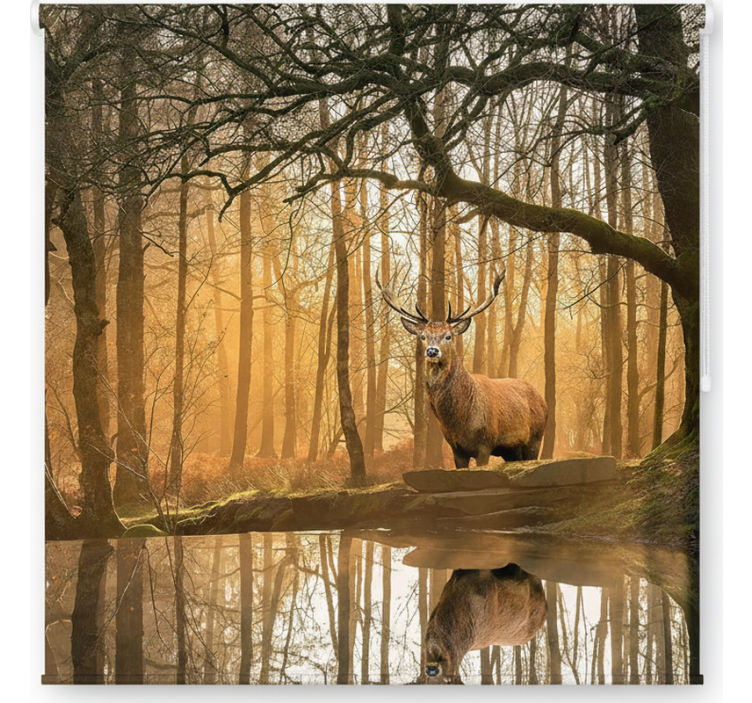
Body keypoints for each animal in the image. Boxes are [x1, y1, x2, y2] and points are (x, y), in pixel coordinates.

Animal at [377, 271, 547, 467]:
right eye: (423, 336)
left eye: (448, 336)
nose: (432, 351)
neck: (459, 421)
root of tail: (544, 401)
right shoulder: (456, 449)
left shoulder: (485, 444)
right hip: (511, 451)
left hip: (535, 439)